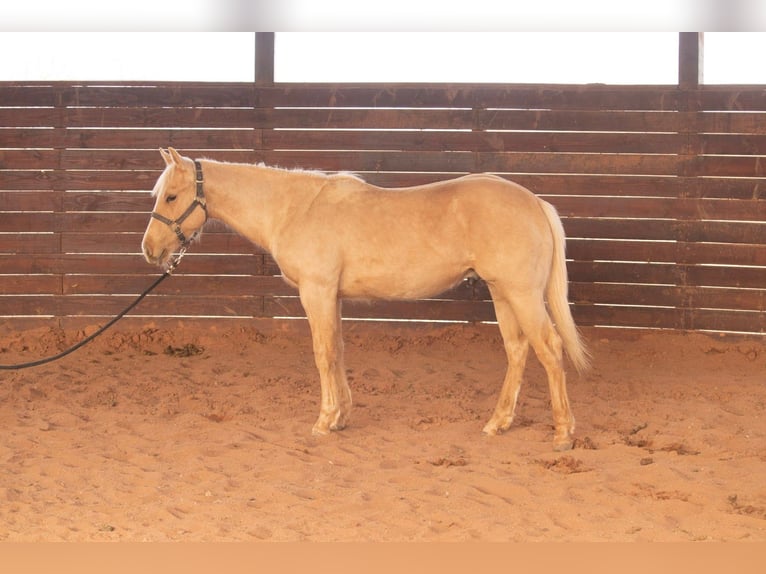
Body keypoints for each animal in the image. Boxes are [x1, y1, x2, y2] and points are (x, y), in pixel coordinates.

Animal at [142, 148, 589, 451]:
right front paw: (341, 416)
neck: (294, 208)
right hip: (502, 292)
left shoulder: (317, 291)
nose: (149, 250)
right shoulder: (331, 295)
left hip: (521, 293)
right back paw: (498, 423)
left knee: (549, 348)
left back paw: (563, 433)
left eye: (170, 197)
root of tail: (535, 202)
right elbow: (338, 350)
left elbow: (323, 353)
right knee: (518, 350)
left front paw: (324, 421)